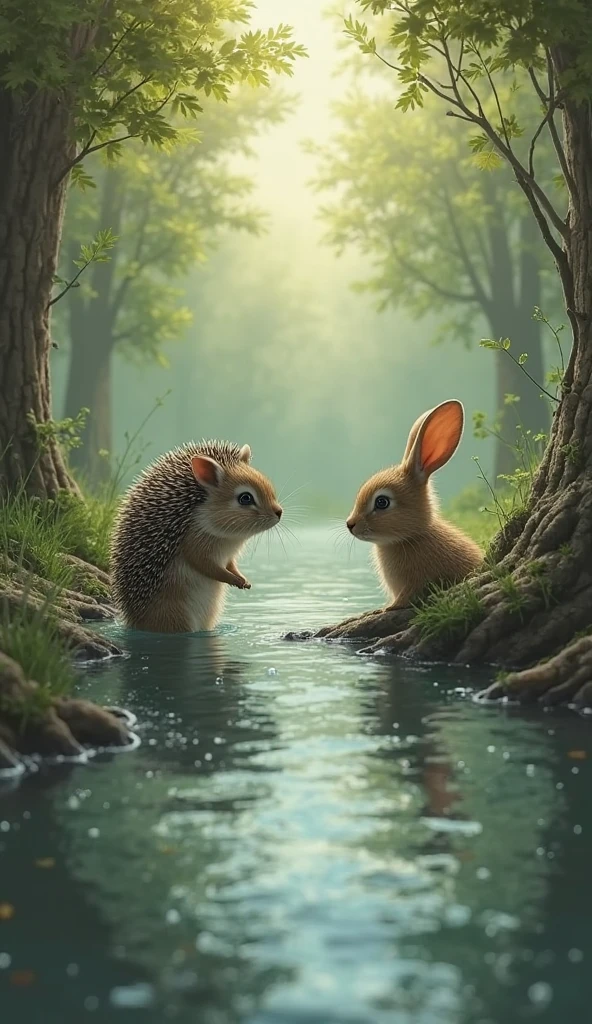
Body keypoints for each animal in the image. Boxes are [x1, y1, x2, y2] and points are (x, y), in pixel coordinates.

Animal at [346, 400, 482, 610]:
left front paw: (389, 607)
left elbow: (407, 597)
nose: (350, 524)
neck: (410, 537)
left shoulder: (416, 581)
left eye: (382, 502)